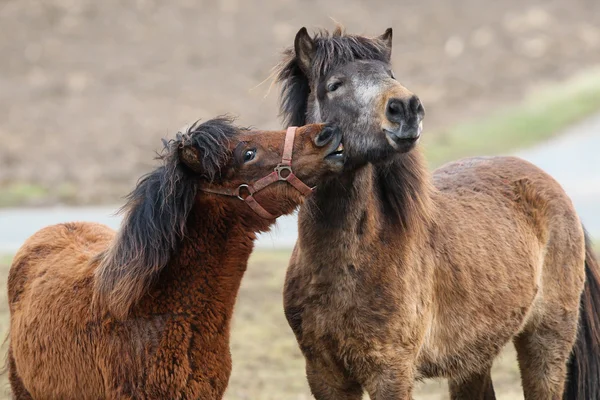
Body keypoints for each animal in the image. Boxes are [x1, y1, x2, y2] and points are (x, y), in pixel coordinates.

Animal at [276, 26, 600, 398]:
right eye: (334, 85)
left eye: (391, 75)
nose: (406, 108)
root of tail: (553, 187)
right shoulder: (324, 375)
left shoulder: (391, 373)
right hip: (474, 357)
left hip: (546, 342)